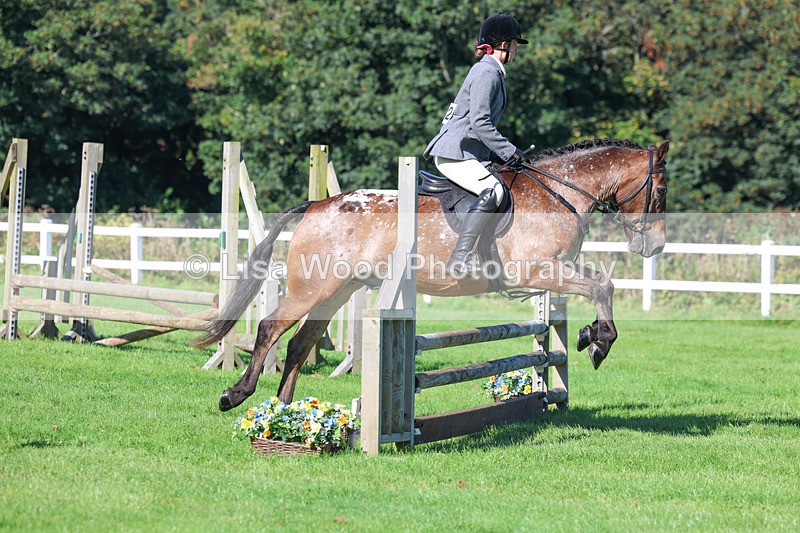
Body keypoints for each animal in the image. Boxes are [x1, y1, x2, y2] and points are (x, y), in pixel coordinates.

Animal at [192, 138, 669, 411]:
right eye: (661, 191)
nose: (656, 247)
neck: (559, 192)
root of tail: (318, 205)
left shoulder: (551, 272)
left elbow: (600, 284)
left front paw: (590, 337)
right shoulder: (538, 270)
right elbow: (602, 284)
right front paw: (598, 342)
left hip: (336, 291)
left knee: (298, 344)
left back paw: (282, 409)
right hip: (313, 288)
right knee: (271, 328)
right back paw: (236, 394)